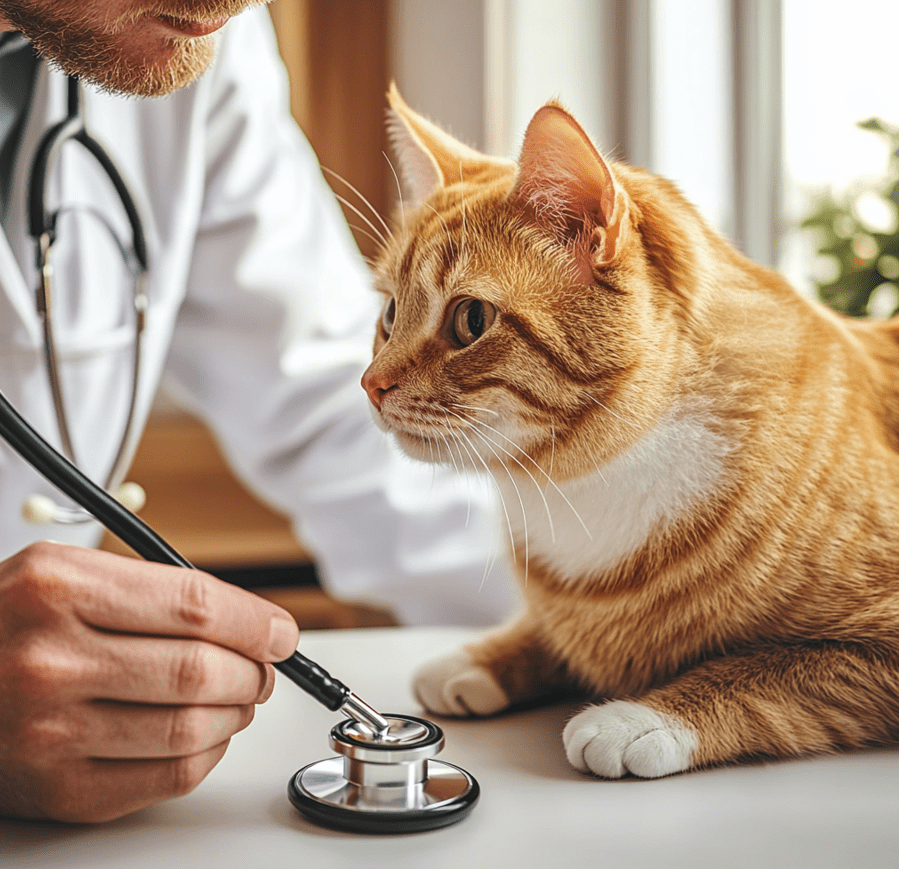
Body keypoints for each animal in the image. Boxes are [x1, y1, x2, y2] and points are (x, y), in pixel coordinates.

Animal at [360, 86, 899, 780]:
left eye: (470, 320)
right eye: (390, 313)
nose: (370, 384)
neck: (580, 490)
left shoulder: (873, 645)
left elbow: (769, 671)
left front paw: (640, 717)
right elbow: (551, 633)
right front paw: (482, 657)